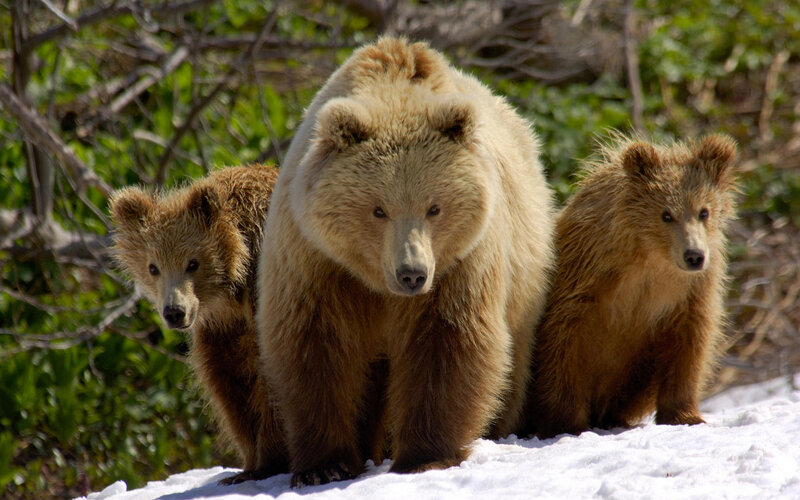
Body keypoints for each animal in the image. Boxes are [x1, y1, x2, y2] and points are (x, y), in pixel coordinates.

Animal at [109, 165, 289, 484]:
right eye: (153, 267)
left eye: (192, 263)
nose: (174, 312)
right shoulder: (222, 330)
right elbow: (228, 383)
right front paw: (247, 465)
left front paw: (269, 462)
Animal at [256, 37, 555, 487]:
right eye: (378, 209)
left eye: (434, 207)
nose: (411, 273)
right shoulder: (316, 260)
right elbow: (315, 346)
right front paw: (324, 466)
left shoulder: (460, 263)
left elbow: (447, 342)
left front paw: (425, 455)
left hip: (524, 273)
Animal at [522, 133, 737, 439]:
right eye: (666, 214)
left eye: (703, 211)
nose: (694, 255)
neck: (650, 257)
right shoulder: (586, 277)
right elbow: (564, 341)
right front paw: (565, 423)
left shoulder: (690, 292)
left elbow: (689, 343)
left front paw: (685, 415)